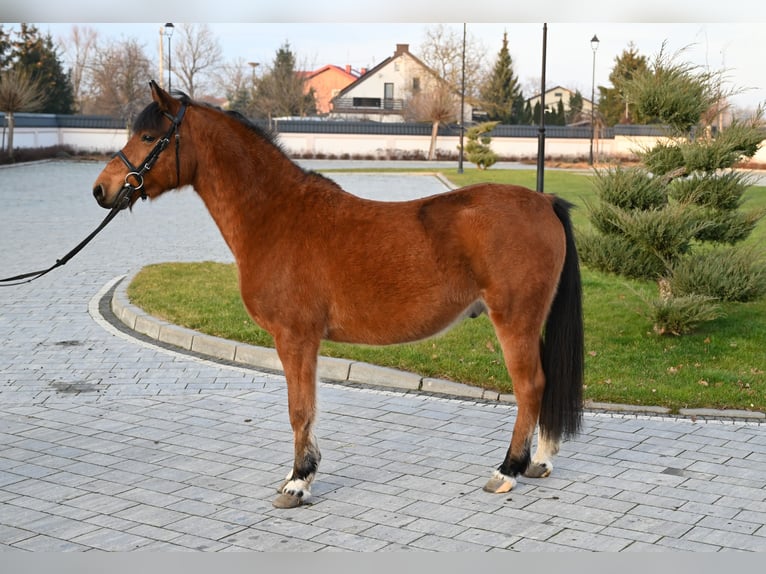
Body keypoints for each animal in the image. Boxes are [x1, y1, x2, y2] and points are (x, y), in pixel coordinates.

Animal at [93, 81, 584, 508]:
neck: (275, 215)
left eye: (148, 135)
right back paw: (539, 462)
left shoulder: (294, 338)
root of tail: (544, 202)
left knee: (529, 386)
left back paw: (508, 470)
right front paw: (300, 475)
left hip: (514, 321)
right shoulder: (304, 341)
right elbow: (307, 408)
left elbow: (299, 410)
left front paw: (298, 483)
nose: (102, 189)